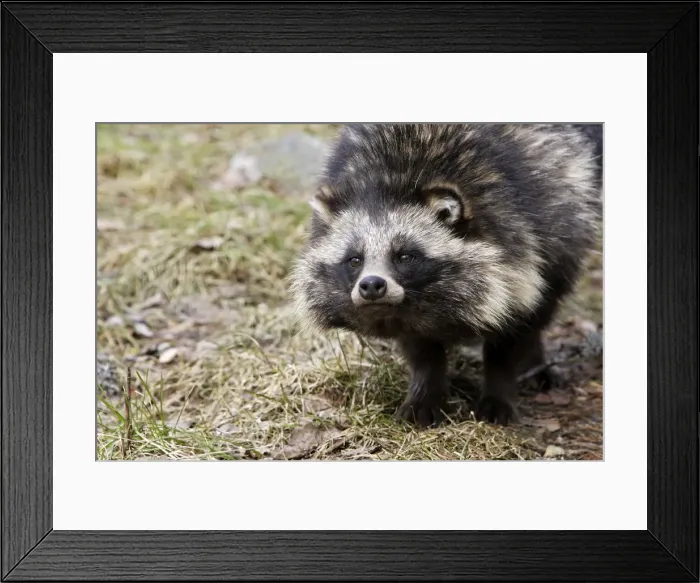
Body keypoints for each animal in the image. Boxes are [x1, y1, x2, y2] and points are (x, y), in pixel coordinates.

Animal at [290, 123, 602, 427]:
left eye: (405, 256)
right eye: (355, 260)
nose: (371, 285)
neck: (387, 184)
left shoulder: (525, 233)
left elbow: (514, 322)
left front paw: (499, 387)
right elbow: (421, 348)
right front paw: (426, 391)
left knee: (546, 300)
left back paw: (534, 359)